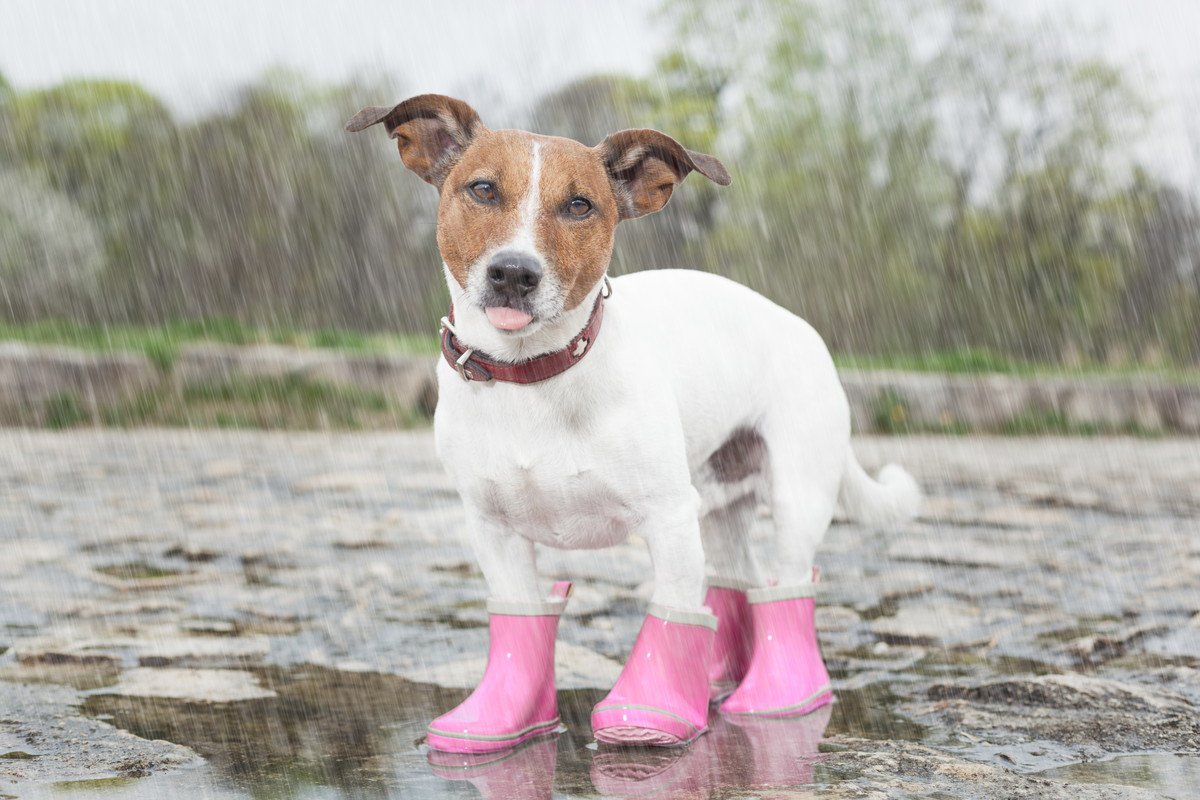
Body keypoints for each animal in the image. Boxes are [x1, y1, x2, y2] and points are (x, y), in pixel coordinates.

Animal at [345, 94, 916, 753]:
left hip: (796, 496)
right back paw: (718, 675)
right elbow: (519, 621)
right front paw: (503, 721)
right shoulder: (494, 531)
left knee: (786, 588)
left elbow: (673, 613)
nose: (513, 273)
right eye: (483, 189)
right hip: (719, 509)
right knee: (735, 581)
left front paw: (653, 710)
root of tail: (801, 327)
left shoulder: (668, 519)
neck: (533, 376)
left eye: (579, 205)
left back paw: (780, 695)